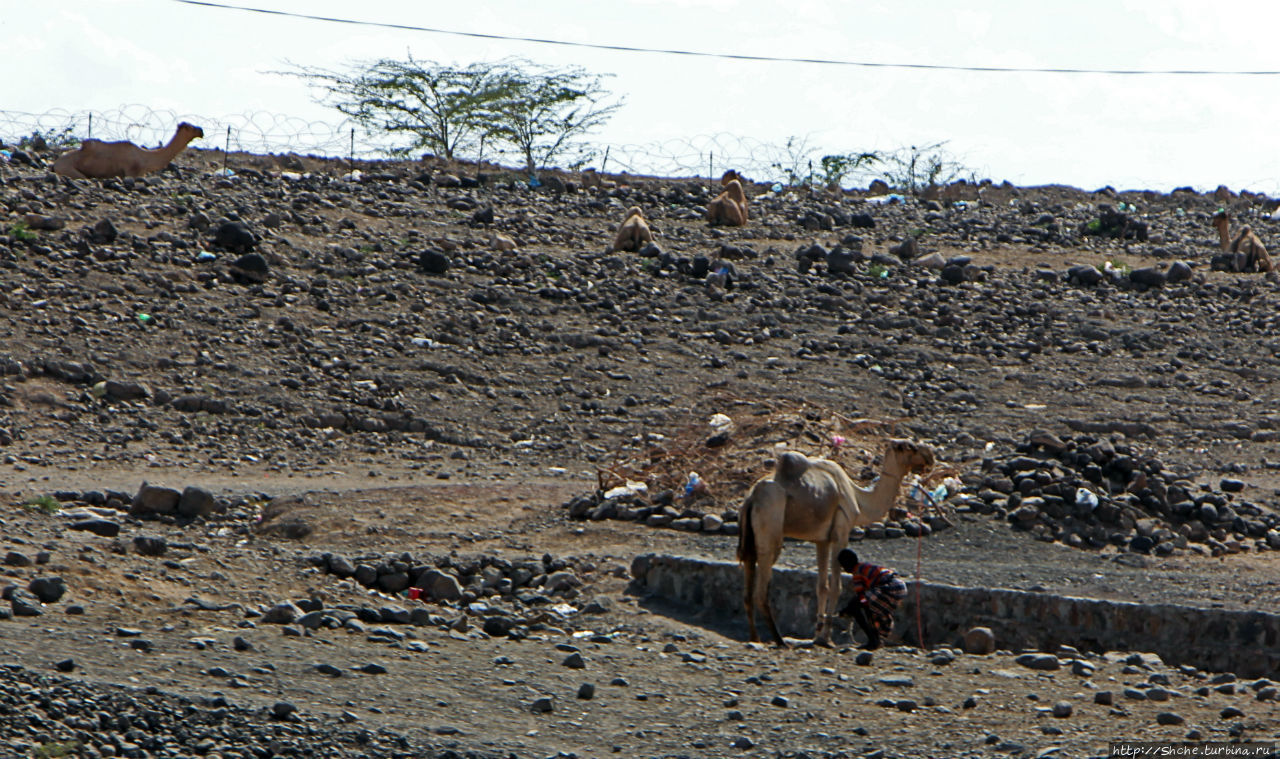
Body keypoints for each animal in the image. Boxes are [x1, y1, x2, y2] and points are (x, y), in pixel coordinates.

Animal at [52, 122, 202, 179]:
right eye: (190, 127)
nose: (201, 131)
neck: (146, 158)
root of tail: (54, 164)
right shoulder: (132, 173)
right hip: (70, 170)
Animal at [737, 437, 936, 645]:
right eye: (910, 447)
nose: (930, 455)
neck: (858, 498)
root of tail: (751, 497)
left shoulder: (822, 539)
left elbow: (822, 586)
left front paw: (817, 634)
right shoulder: (841, 532)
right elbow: (836, 587)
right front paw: (827, 638)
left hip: (749, 534)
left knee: (747, 583)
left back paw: (755, 638)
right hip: (770, 521)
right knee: (761, 589)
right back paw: (779, 640)